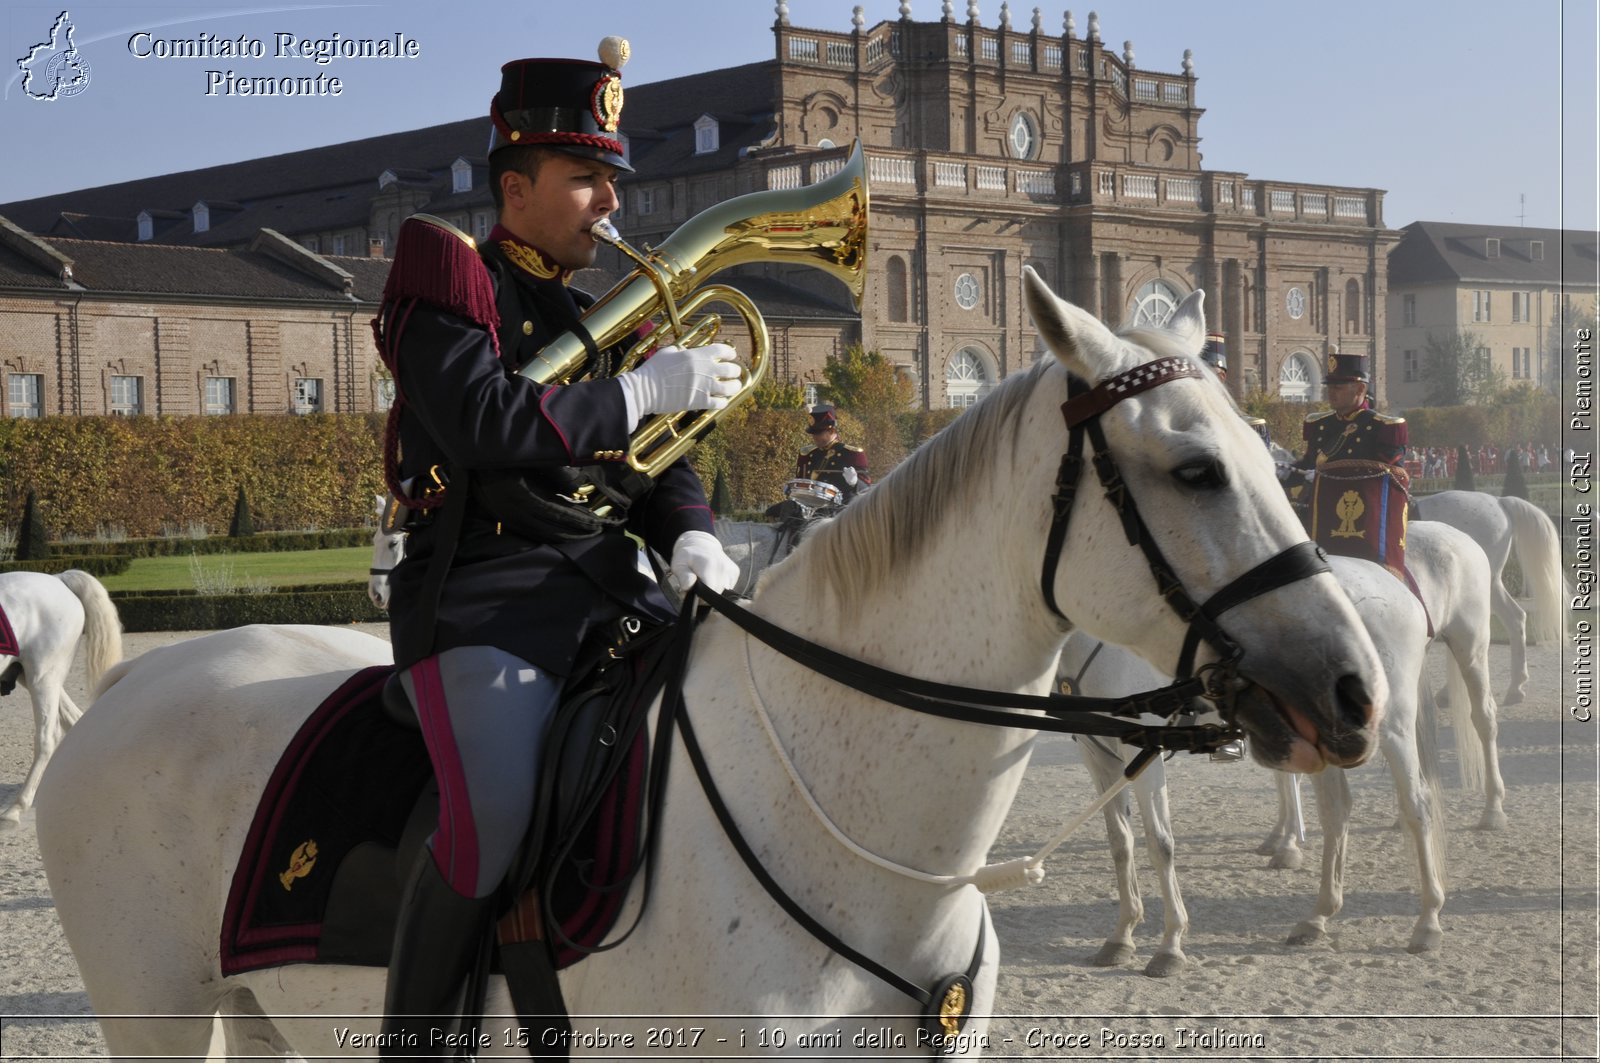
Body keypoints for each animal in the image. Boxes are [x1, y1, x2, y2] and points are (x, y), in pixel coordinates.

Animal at [0, 569, 121, 826]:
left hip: (42, 677)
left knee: (47, 738)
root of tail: (58, 578)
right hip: (38, 677)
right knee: (76, 721)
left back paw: (16, 808)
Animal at [34, 275, 1388, 1063]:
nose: (1352, 687)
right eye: (1194, 470)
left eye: (1265, 451)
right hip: (156, 1015)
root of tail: (139, 685)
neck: (855, 837)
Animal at [1062, 515, 1497, 973]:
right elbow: (1120, 842)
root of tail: (1395, 586)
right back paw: (1319, 917)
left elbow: (1159, 843)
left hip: (1401, 720)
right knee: (1336, 810)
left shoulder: (1143, 755)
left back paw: (1428, 920)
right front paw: (1121, 935)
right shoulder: (1098, 758)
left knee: (1418, 805)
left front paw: (1170, 945)